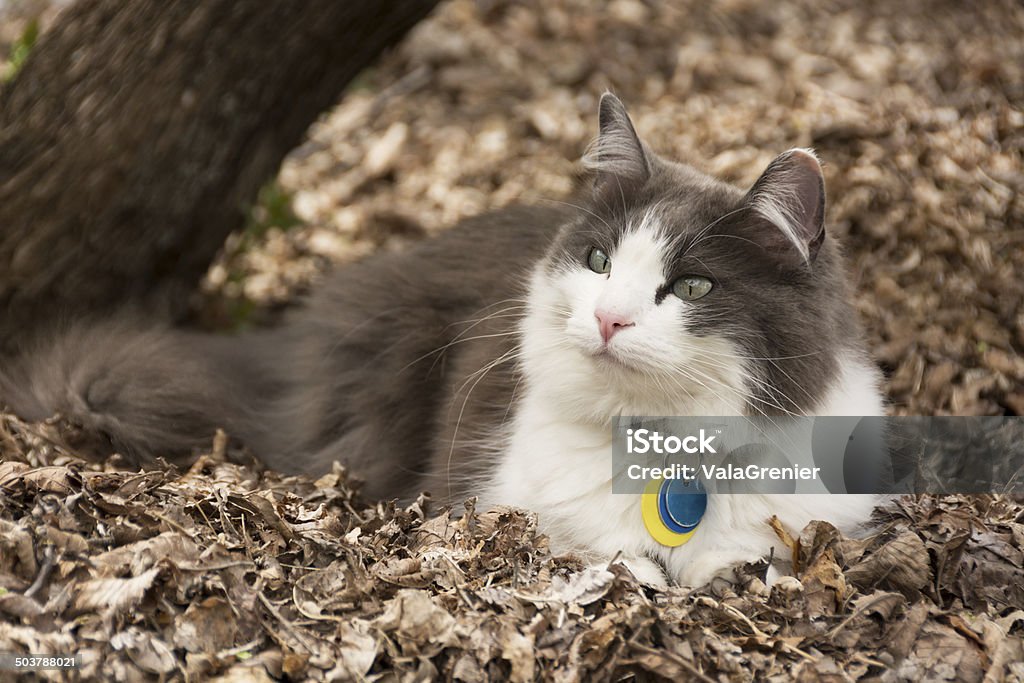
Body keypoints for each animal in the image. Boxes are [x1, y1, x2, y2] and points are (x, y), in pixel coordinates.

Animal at [0, 94, 884, 589]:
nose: (608, 318)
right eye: (599, 262)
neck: (660, 450)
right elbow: (601, 551)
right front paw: (638, 567)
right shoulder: (501, 502)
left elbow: (749, 554)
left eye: (694, 287)